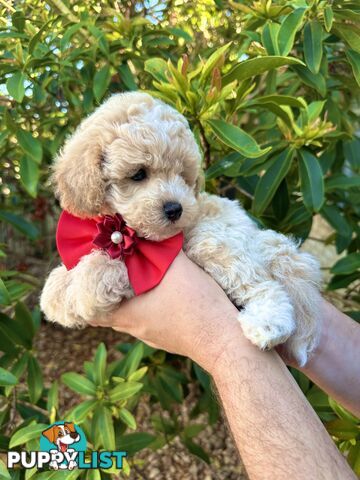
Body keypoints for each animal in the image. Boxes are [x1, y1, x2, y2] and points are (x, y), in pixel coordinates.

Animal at [40, 92, 322, 366]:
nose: (175, 209)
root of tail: (263, 238)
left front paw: (79, 291)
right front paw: (56, 289)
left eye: (182, 176)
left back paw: (267, 325)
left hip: (212, 242)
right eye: (138, 174)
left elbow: (100, 269)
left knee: (263, 284)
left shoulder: (149, 266)